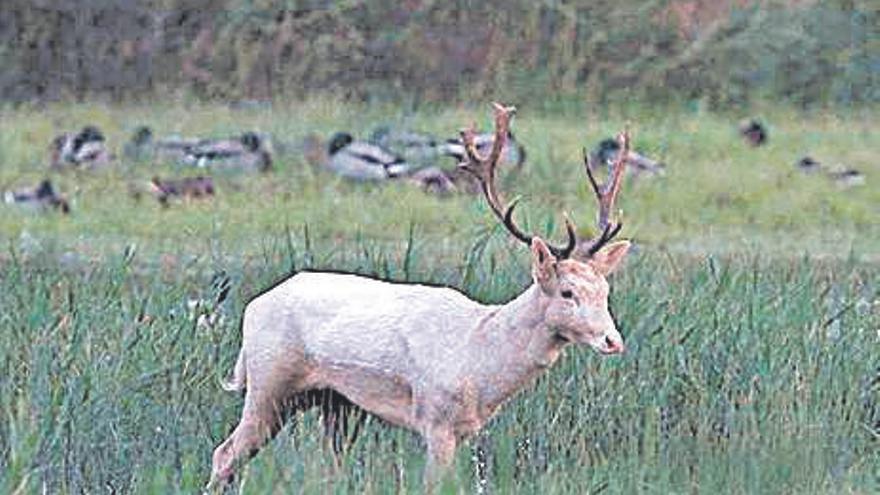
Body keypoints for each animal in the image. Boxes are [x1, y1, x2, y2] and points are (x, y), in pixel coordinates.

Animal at [206, 104, 632, 492]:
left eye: (605, 291)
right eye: (567, 291)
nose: (613, 340)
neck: (479, 358)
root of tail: (252, 306)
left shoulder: (464, 428)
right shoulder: (435, 417)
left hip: (336, 402)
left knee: (328, 466)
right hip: (270, 382)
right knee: (225, 453)